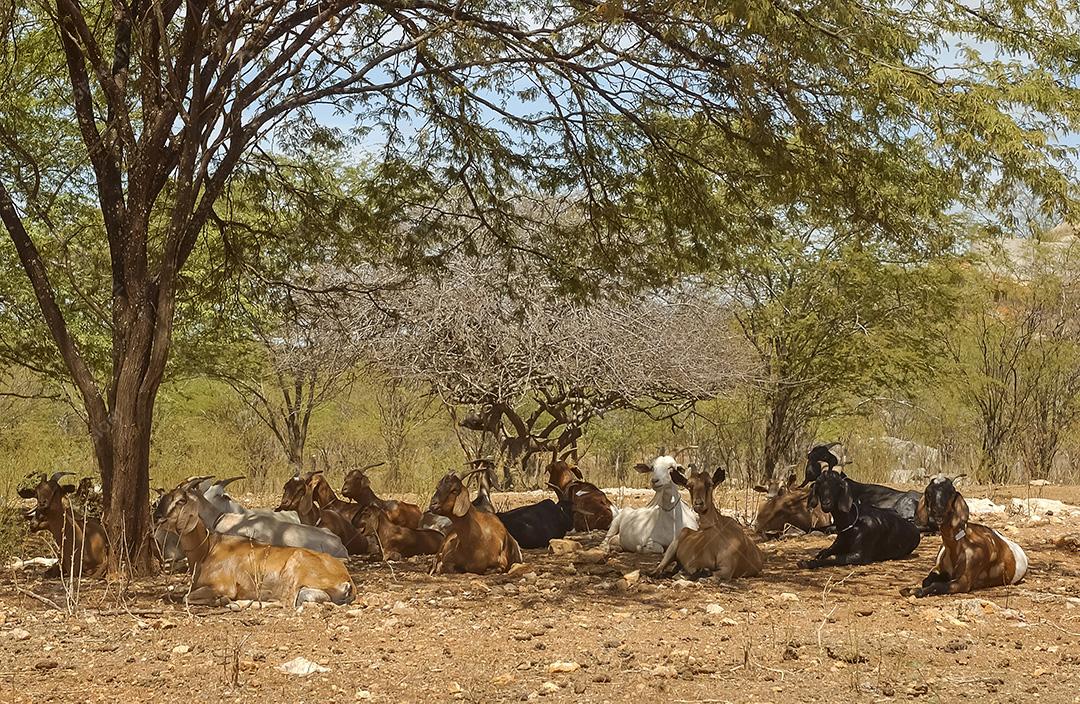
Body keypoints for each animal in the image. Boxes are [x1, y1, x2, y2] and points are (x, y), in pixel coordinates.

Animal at [156, 487, 354, 607]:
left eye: (181, 500)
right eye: (164, 498)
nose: (159, 518)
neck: (207, 550)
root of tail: (346, 580)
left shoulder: (223, 586)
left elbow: (187, 597)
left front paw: (222, 600)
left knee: (285, 602)